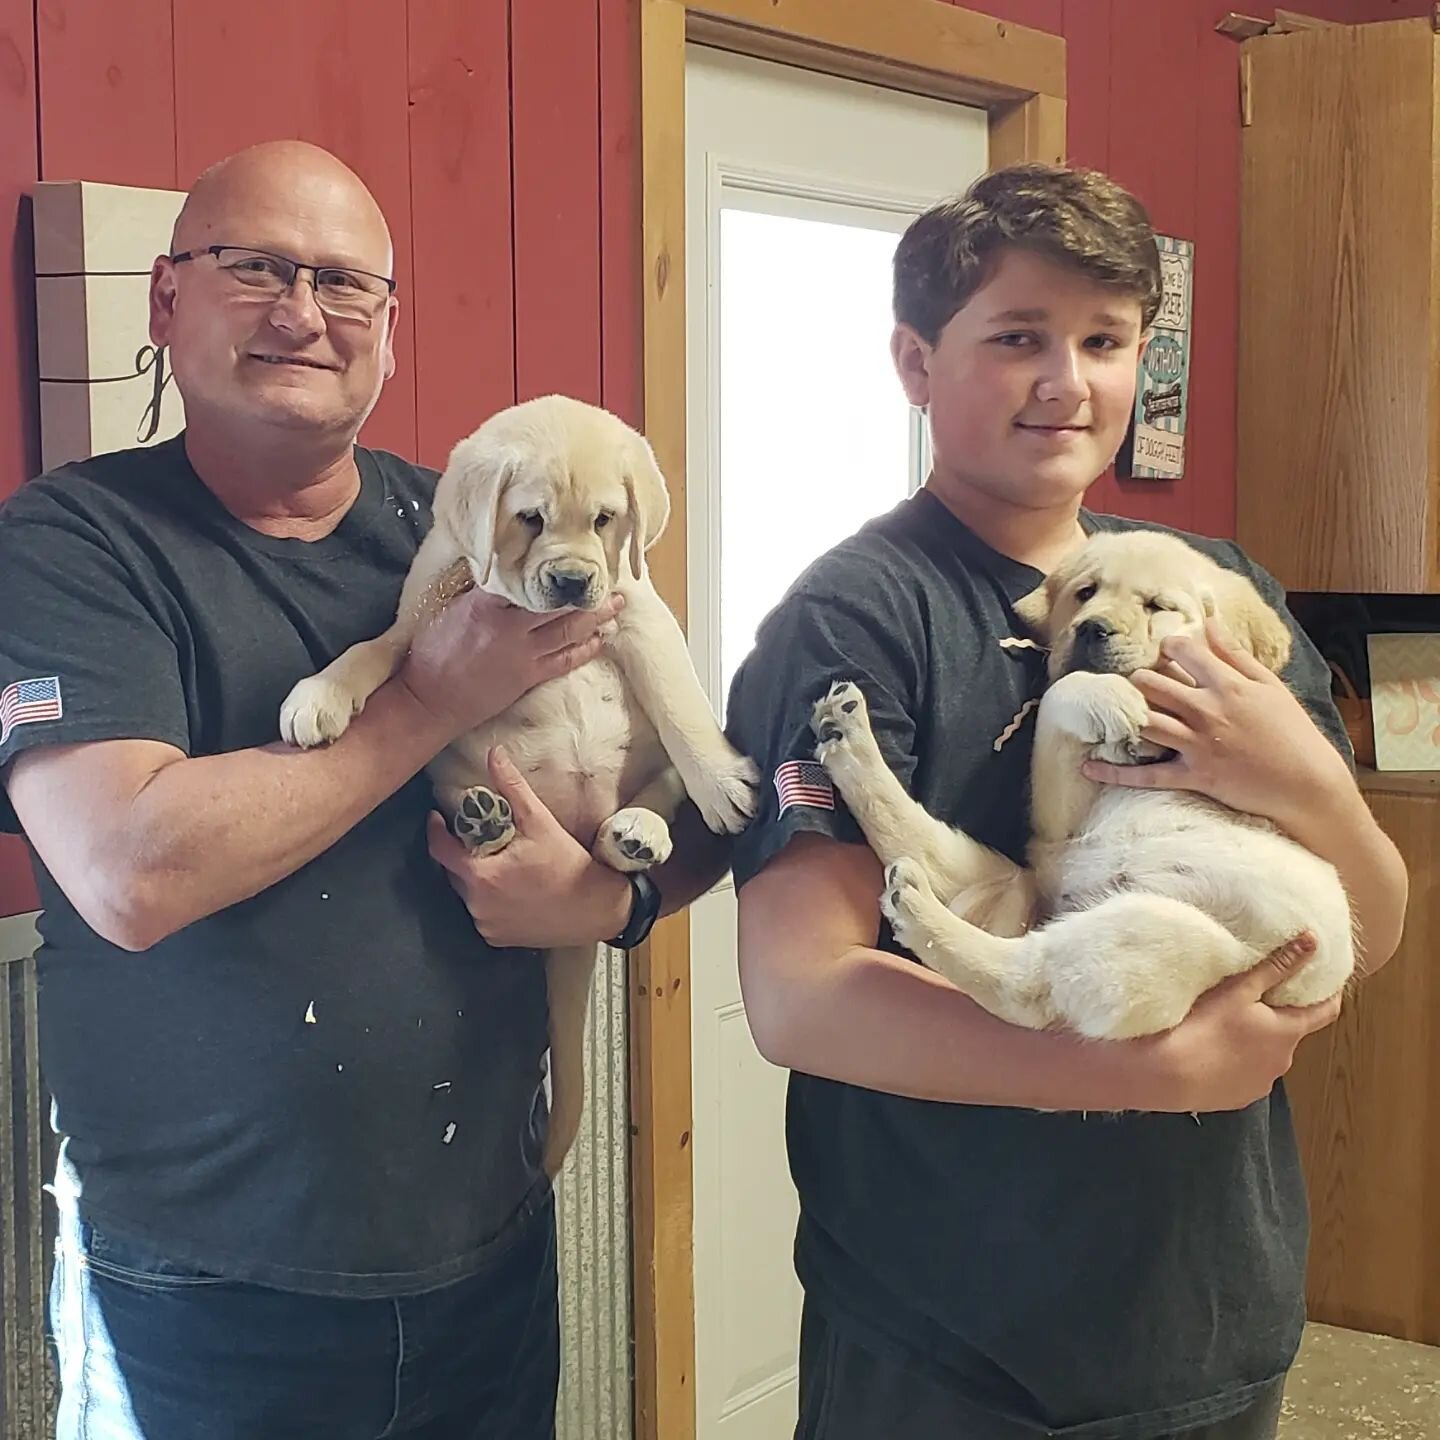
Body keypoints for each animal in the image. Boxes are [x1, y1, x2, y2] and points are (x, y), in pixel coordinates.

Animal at [275, 391, 760, 1169]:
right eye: (530, 518)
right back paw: (487, 824)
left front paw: (720, 780)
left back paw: (635, 832)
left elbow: (679, 702)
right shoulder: (424, 620)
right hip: (452, 770)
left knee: (631, 818)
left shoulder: (638, 613)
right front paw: (320, 694)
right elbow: (371, 649)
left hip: (640, 776)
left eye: (605, 519)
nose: (572, 582)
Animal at [812, 535, 1347, 1042]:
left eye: (1157, 605)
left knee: (1025, 985)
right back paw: (847, 736)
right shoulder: (1063, 814)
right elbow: (1060, 692)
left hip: (1166, 939)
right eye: (1085, 593)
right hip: (1045, 883)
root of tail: (1058, 890)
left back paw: (916, 906)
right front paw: (1116, 703)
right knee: (918, 839)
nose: (1091, 628)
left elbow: (1058, 693)